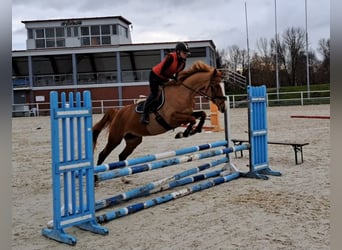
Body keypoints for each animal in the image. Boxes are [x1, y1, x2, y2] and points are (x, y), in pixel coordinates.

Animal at [93, 60, 227, 168]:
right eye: (215, 86)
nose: (223, 106)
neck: (184, 93)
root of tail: (118, 112)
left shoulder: (187, 113)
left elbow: (202, 114)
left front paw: (194, 131)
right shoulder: (172, 118)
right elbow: (192, 119)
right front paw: (183, 133)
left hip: (133, 139)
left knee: (122, 156)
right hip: (115, 138)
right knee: (102, 154)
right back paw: (96, 179)